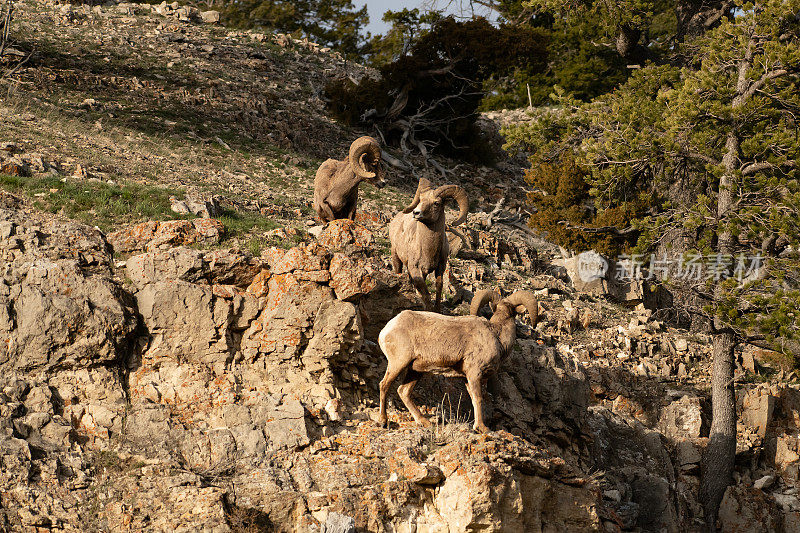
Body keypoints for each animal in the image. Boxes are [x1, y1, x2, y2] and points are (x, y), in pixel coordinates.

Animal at [378, 288, 540, 430]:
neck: (497, 335)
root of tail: (386, 330)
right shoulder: (475, 374)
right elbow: (479, 399)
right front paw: (482, 428)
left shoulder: (467, 378)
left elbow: (474, 400)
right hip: (398, 363)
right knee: (384, 385)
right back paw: (383, 421)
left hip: (415, 371)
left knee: (403, 391)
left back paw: (424, 422)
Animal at [388, 179, 468, 312]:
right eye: (420, 199)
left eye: (436, 203)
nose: (416, 213)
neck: (428, 250)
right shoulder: (415, 269)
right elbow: (425, 292)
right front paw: (428, 309)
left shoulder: (440, 268)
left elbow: (439, 287)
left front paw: (437, 310)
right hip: (396, 257)